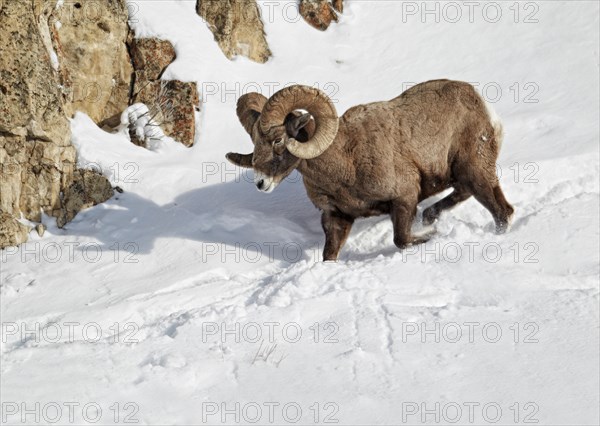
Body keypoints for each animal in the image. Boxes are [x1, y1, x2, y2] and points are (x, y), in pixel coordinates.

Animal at [227, 78, 512, 262]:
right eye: (255, 142)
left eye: (278, 140)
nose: (261, 183)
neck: (345, 164)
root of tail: (484, 107)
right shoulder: (337, 217)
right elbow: (329, 256)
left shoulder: (404, 199)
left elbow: (401, 240)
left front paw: (432, 235)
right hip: (464, 176)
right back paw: (430, 216)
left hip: (475, 172)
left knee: (502, 213)